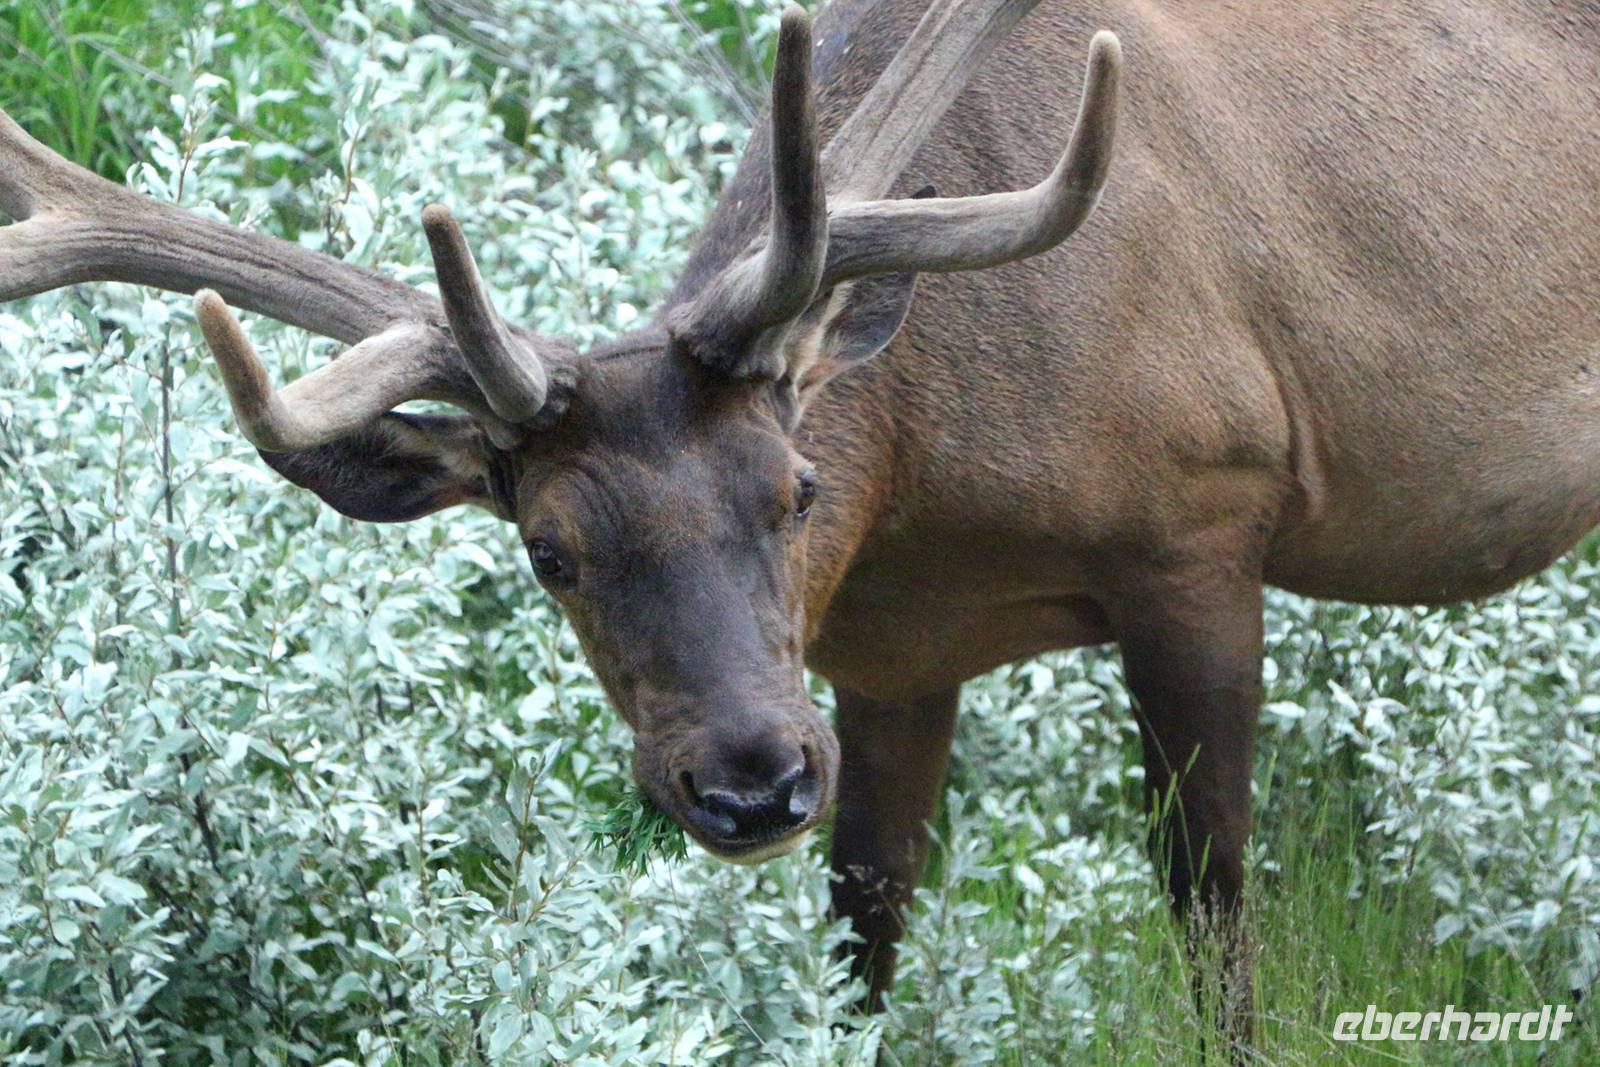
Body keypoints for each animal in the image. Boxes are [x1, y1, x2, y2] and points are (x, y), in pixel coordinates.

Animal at [5, 0, 1599, 1046]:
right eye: (546, 549)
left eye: (797, 489)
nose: (749, 780)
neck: (947, 471)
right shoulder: (890, 655)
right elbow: (864, 939)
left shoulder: (1206, 520)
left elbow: (1214, 920)